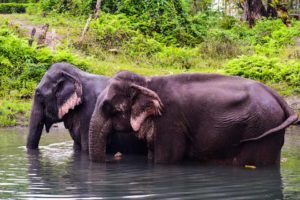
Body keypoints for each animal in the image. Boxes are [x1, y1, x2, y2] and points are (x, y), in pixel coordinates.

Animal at [87, 70, 298, 166]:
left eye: (110, 108)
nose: (115, 157)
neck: (146, 81)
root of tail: (279, 97)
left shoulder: (170, 120)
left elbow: (166, 159)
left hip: (261, 125)